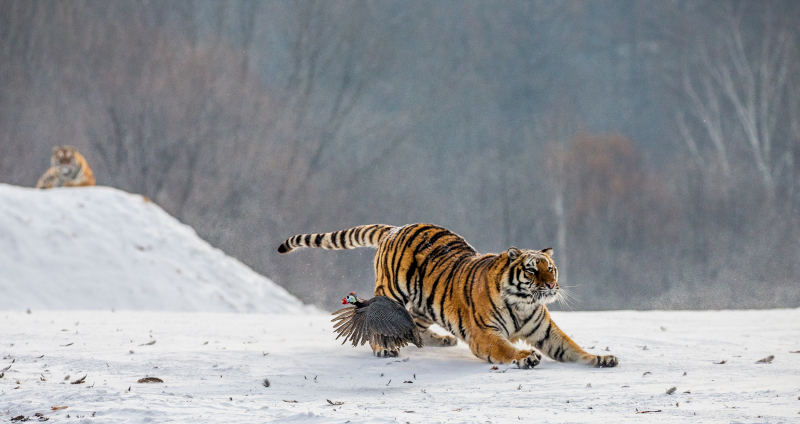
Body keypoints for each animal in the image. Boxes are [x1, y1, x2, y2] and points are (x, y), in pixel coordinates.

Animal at [280, 224, 620, 370]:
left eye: (550, 268)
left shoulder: (546, 331)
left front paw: (601, 358)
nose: (551, 286)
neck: (524, 302)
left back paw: (442, 340)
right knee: (378, 320)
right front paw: (525, 356)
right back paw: (384, 349)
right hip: (391, 292)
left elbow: (572, 347)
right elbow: (506, 348)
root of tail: (396, 228)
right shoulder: (485, 334)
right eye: (532, 270)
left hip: (424, 305)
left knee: (413, 326)